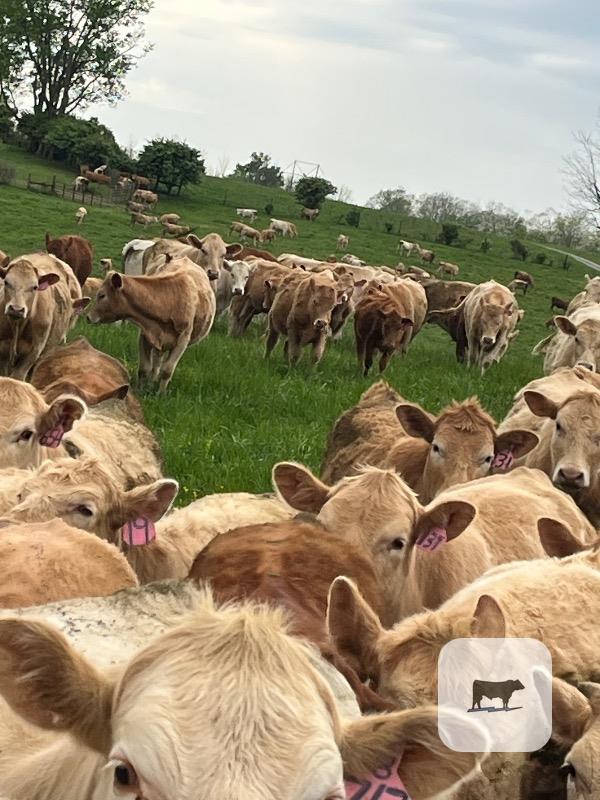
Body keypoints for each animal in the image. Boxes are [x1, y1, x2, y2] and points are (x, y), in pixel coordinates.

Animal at [88, 256, 216, 391]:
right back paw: (152, 381)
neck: (171, 300)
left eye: (102, 295)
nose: (88, 317)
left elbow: (167, 370)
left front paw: (161, 393)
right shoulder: (145, 335)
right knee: (156, 362)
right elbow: (144, 368)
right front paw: (141, 390)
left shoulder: (182, 341)